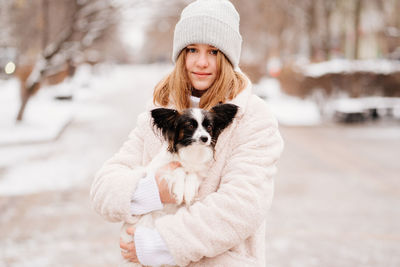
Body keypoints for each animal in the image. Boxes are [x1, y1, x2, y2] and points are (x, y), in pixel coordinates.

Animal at [119, 103, 238, 266]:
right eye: (190, 125)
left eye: (209, 126)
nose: (205, 138)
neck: (191, 151)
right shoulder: (163, 169)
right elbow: (180, 170)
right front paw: (180, 192)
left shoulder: (199, 172)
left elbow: (192, 175)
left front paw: (188, 193)